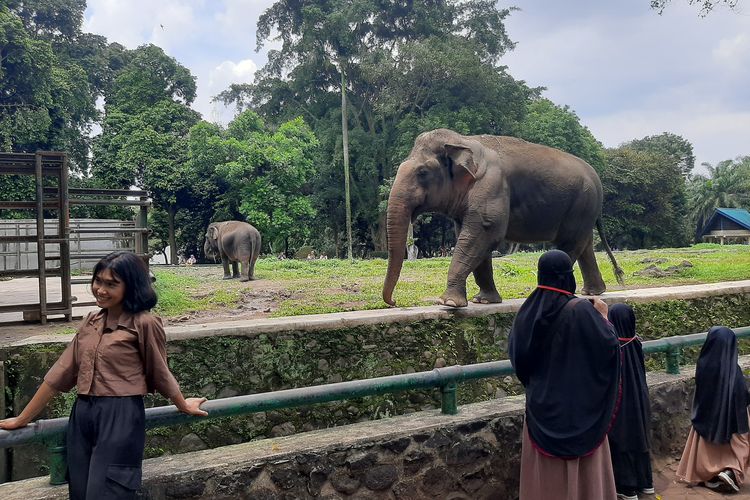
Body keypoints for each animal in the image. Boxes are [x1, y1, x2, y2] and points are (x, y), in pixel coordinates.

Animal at [384, 128, 624, 308]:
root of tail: (597, 178)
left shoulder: (492, 185)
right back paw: (593, 292)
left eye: (422, 172)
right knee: (585, 244)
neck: (463, 140)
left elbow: (484, 231)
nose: (394, 302)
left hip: (582, 204)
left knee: (568, 244)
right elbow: (472, 237)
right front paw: (483, 301)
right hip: (583, 209)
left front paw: (448, 302)